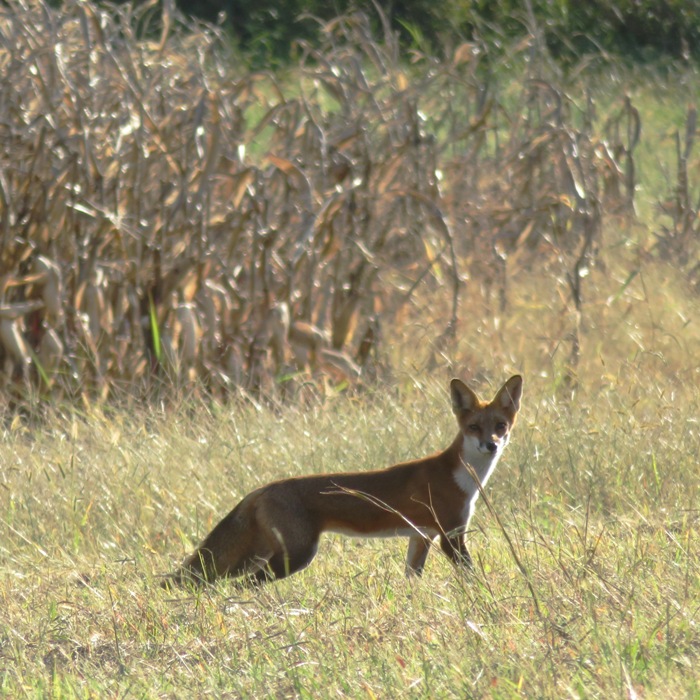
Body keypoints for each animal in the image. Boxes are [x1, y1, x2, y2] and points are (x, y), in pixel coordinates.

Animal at [164, 374, 524, 588]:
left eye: (501, 426)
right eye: (474, 427)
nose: (491, 445)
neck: (462, 477)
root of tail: (260, 489)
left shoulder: (421, 537)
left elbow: (411, 581)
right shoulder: (451, 535)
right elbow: (471, 577)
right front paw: (483, 597)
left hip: (269, 552)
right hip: (296, 555)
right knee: (245, 584)